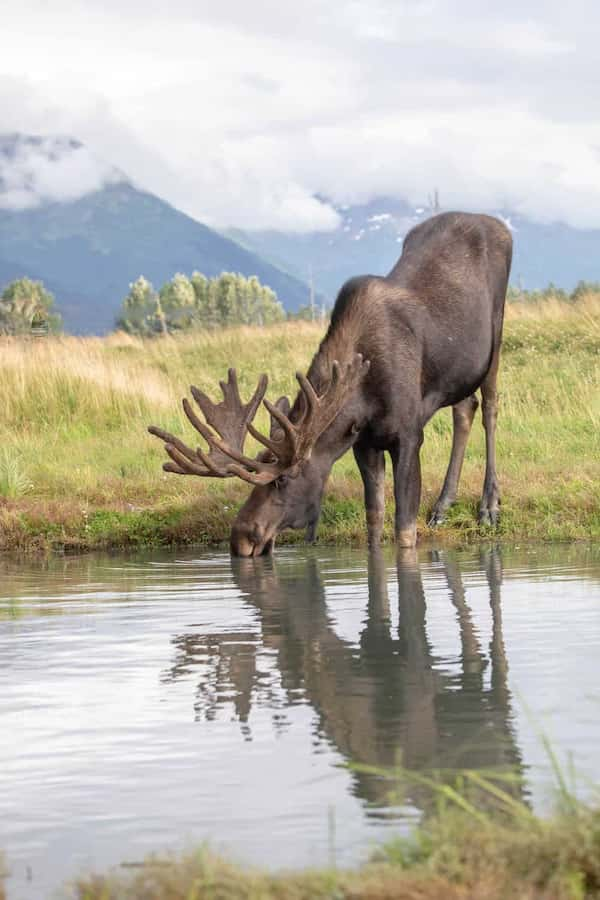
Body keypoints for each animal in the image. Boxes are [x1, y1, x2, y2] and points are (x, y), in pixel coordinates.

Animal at [150, 214, 510, 560]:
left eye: (282, 478)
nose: (240, 538)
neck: (361, 392)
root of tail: (498, 224)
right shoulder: (364, 442)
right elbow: (374, 521)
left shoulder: (408, 435)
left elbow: (404, 529)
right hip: (459, 372)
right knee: (465, 407)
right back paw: (442, 506)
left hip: (495, 333)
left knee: (490, 406)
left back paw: (488, 506)